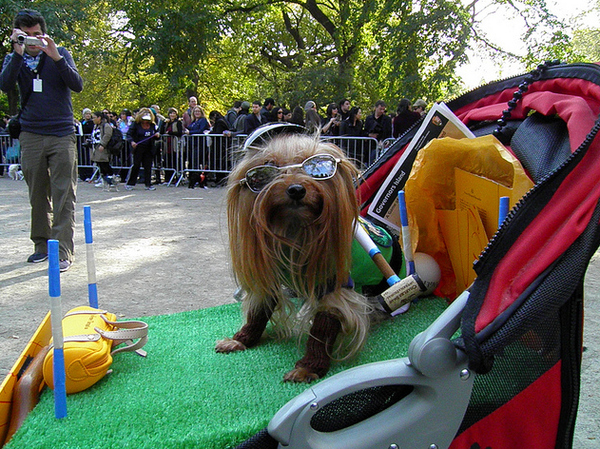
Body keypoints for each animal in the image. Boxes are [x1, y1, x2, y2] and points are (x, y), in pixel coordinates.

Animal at [216, 126, 372, 382]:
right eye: (267, 169)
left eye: (316, 166)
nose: (297, 189)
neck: (295, 228)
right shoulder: (268, 277)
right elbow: (259, 311)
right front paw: (241, 339)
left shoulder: (335, 288)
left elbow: (322, 327)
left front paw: (308, 367)